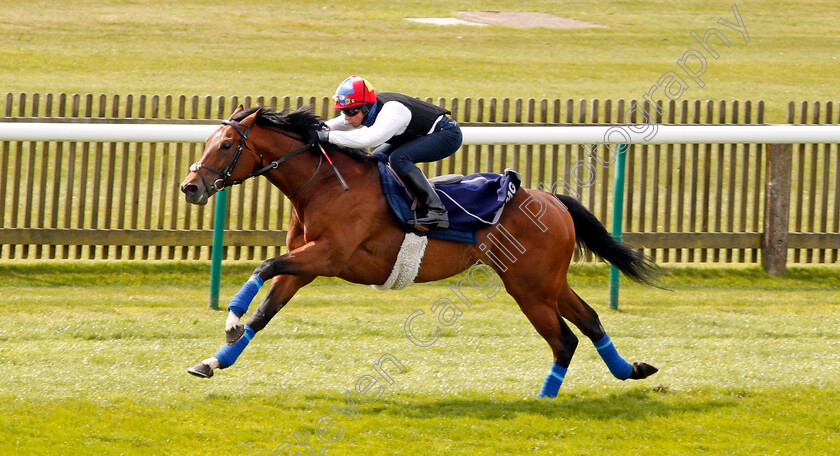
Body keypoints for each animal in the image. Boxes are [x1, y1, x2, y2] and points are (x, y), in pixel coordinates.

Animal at [180, 106, 660, 396]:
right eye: (207, 141)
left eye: (226, 145)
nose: (191, 187)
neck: (323, 184)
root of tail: (553, 200)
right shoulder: (305, 266)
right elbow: (264, 314)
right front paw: (213, 360)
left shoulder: (327, 256)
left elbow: (262, 266)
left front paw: (230, 317)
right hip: (547, 281)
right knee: (590, 321)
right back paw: (631, 369)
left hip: (529, 287)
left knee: (564, 339)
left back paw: (543, 399)